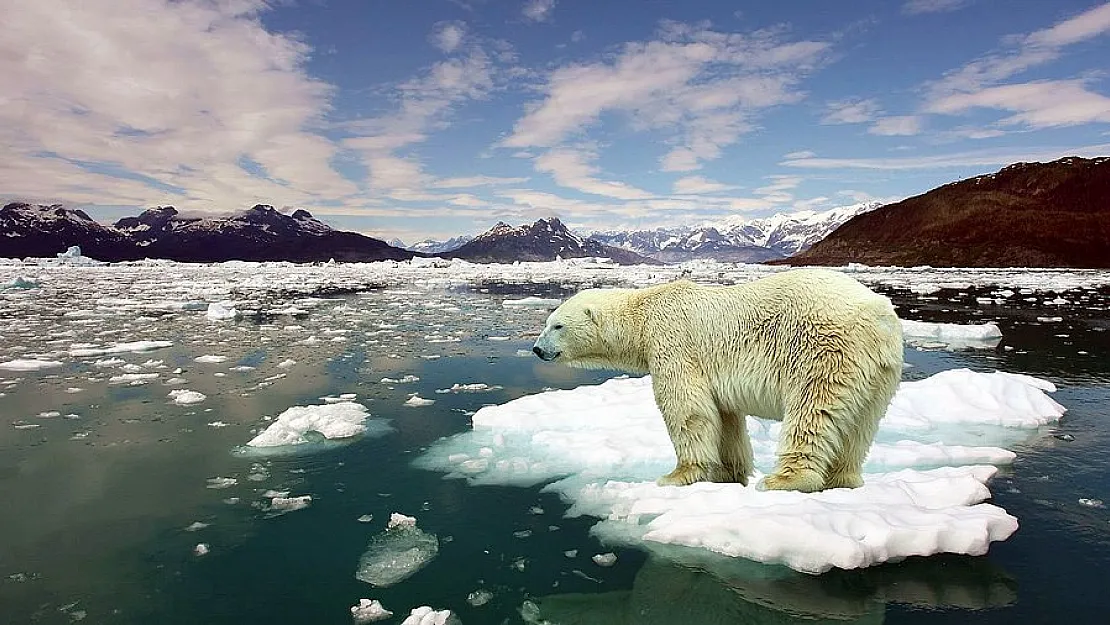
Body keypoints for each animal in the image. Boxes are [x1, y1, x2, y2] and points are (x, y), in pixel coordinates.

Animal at [532, 269, 905, 495]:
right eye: (548, 322)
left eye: (557, 326)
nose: (537, 349)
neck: (643, 313)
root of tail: (879, 315)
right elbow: (724, 418)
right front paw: (728, 473)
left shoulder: (672, 341)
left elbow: (686, 408)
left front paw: (677, 475)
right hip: (880, 372)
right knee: (860, 425)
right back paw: (843, 480)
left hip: (824, 349)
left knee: (813, 411)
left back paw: (783, 479)